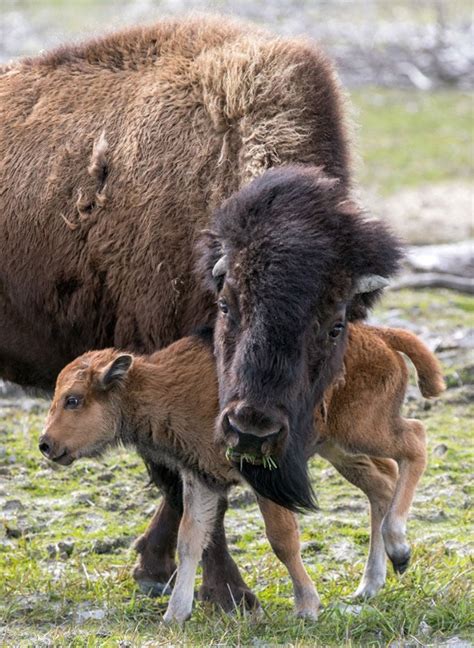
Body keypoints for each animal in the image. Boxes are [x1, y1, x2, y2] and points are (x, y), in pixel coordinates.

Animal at [0, 17, 398, 612]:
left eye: (335, 325)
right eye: (227, 303)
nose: (255, 428)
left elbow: (195, 490)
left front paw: (157, 570)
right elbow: (187, 487)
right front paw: (229, 594)